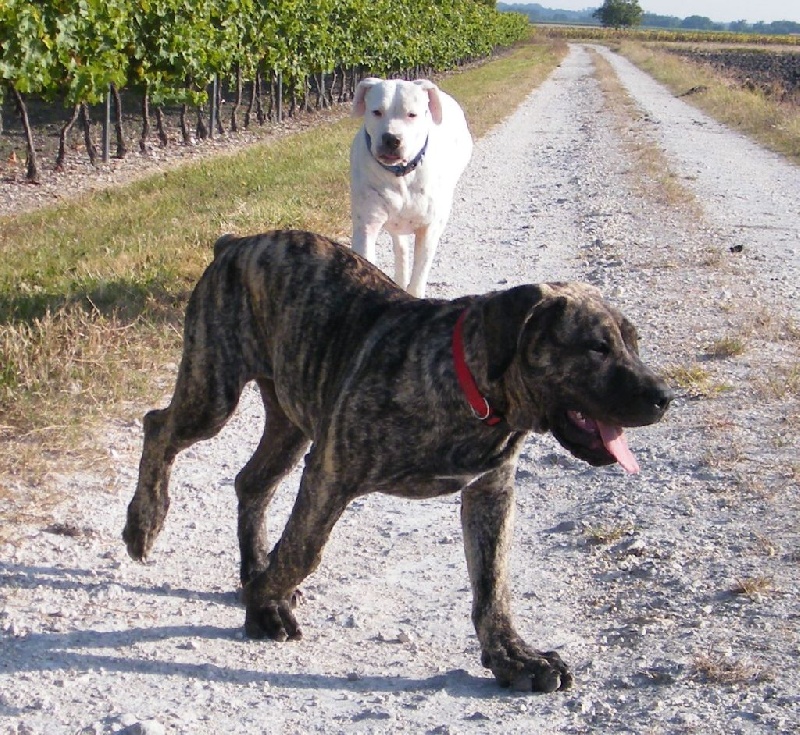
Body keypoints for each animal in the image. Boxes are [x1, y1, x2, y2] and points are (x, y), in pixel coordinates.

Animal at [125, 231, 672, 696]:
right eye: (596, 347)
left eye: (634, 343)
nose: (664, 397)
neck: (467, 387)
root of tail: (234, 243)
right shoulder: (330, 475)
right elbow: (303, 552)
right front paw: (264, 605)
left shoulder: (490, 493)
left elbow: (493, 585)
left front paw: (514, 658)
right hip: (213, 392)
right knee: (159, 429)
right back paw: (145, 523)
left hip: (290, 421)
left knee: (252, 482)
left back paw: (252, 566)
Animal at [348, 77, 472, 296]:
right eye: (376, 112)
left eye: (412, 114)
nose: (391, 138)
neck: (400, 174)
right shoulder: (366, 226)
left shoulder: (428, 229)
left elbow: (419, 277)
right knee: (400, 246)